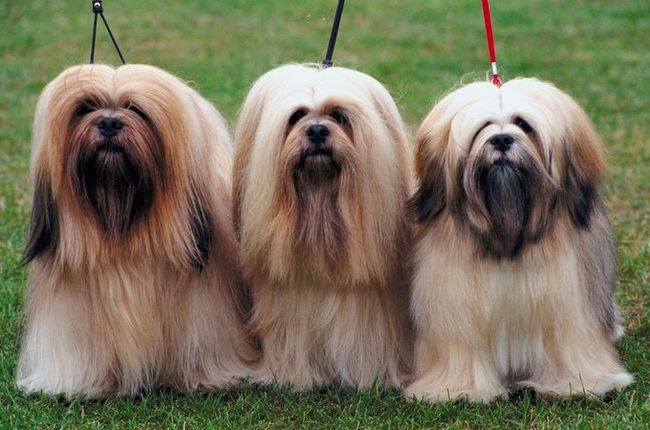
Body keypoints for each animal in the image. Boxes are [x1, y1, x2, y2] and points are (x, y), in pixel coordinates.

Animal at [405, 78, 632, 402]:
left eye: (523, 125)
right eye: (484, 126)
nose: (501, 140)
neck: (508, 234)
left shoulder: (566, 302)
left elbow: (568, 344)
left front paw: (577, 384)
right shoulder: (455, 304)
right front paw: (459, 389)